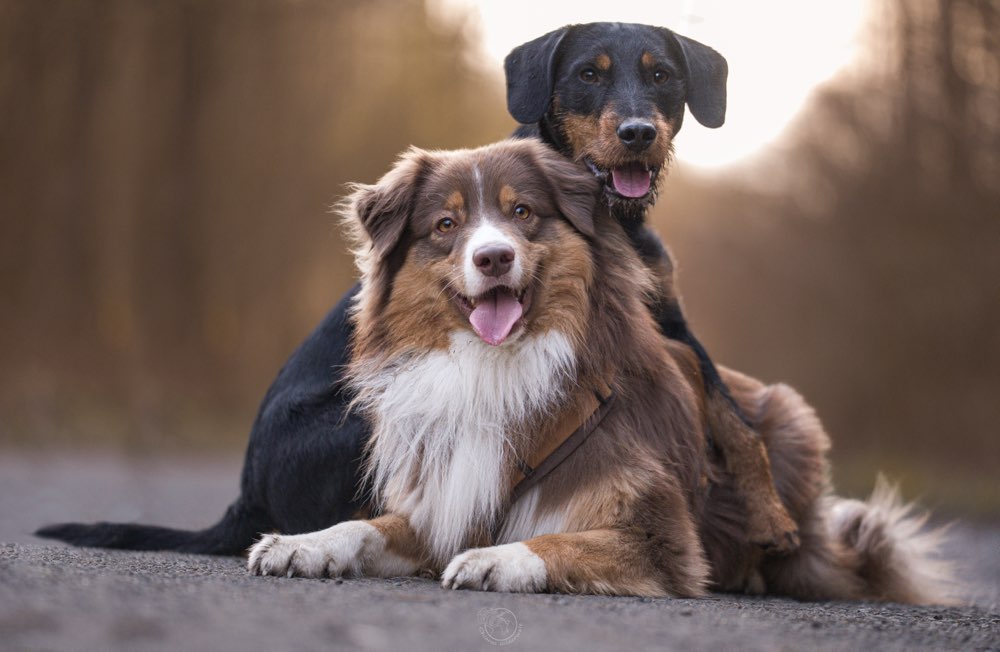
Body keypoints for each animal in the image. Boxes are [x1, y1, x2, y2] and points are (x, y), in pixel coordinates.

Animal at [246, 140, 948, 604]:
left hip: (792, 415)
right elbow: (361, 527)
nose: (493, 257)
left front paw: (497, 559)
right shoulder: (445, 499)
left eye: (522, 212)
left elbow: (562, 540)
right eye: (446, 225)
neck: (495, 367)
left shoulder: (662, 535)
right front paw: (300, 543)